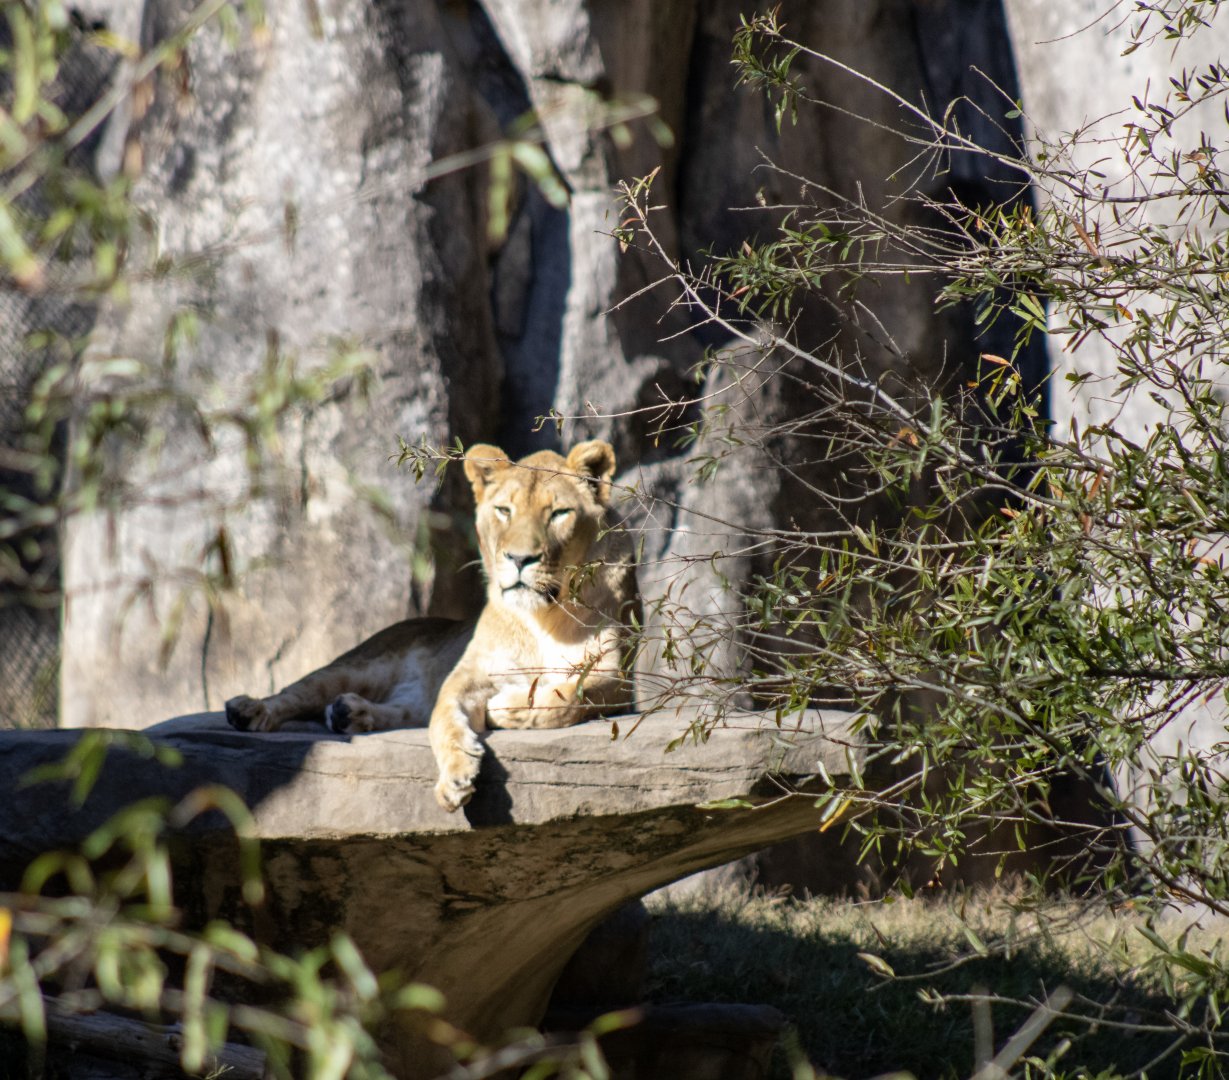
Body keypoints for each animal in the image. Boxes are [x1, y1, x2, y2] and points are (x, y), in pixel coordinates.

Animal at [224, 440, 640, 811]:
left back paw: (348, 713)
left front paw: (507, 705)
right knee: (299, 691)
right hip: (358, 664)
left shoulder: (618, 678)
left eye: (558, 514)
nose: (520, 559)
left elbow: (574, 694)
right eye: (504, 510)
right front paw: (456, 776)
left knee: (405, 711)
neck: (543, 617)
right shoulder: (467, 677)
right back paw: (249, 709)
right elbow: (444, 723)